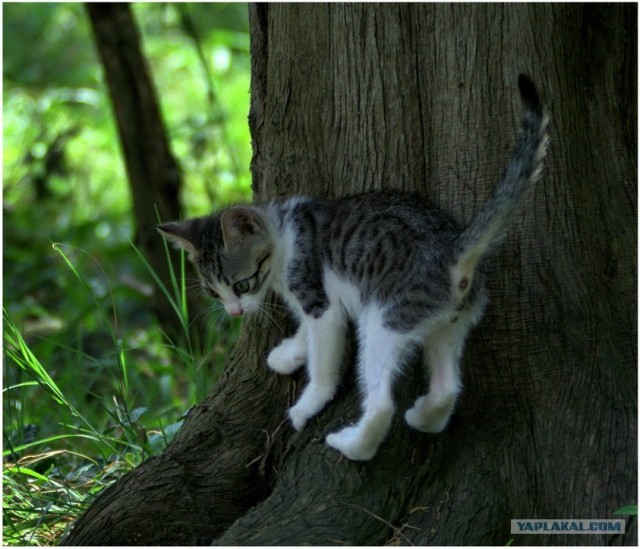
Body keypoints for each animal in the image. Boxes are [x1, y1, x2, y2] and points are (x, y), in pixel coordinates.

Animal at [160, 75, 552, 460]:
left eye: (242, 284)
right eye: (214, 292)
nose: (235, 312)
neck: (285, 231)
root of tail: (452, 252)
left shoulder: (319, 301)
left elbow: (324, 359)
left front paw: (307, 405)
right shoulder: (317, 301)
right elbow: (307, 333)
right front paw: (288, 354)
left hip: (383, 322)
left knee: (382, 404)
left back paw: (353, 445)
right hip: (450, 323)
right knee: (447, 388)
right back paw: (423, 416)